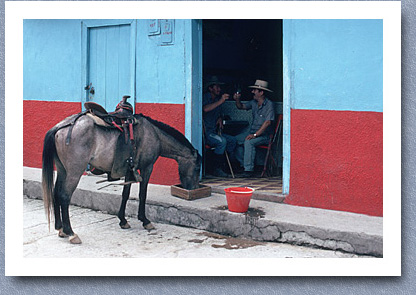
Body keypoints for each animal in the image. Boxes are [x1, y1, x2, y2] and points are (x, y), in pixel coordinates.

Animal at [41, 111, 202, 245]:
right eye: (197, 168)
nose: (193, 188)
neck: (154, 134)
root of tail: (60, 127)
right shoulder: (147, 167)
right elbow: (142, 194)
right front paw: (145, 220)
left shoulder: (128, 170)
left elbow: (125, 194)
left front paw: (123, 220)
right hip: (74, 172)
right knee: (64, 197)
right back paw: (70, 233)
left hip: (62, 170)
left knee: (56, 193)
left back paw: (60, 229)